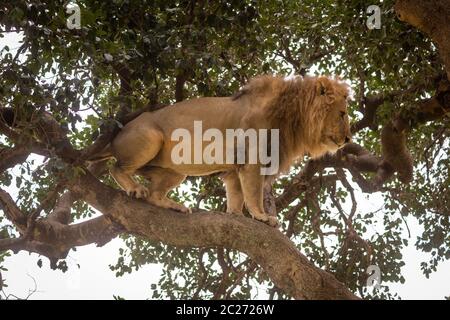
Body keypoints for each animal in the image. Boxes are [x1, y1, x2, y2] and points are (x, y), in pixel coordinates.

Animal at [104, 74, 352, 226]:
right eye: (342, 114)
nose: (349, 138)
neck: (292, 117)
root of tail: (116, 134)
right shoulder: (253, 159)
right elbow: (253, 192)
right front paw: (262, 216)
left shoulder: (235, 168)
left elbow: (236, 193)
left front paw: (235, 214)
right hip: (151, 137)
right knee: (116, 168)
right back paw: (135, 189)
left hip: (175, 172)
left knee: (155, 194)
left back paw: (175, 207)